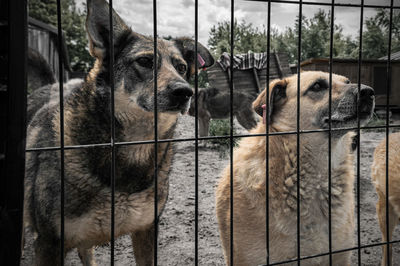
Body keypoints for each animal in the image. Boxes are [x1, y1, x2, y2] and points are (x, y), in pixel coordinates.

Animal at [23, 0, 214, 264]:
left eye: (182, 67)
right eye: (145, 62)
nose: (185, 92)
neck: (132, 148)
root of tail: (51, 86)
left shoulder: (147, 230)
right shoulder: (48, 243)